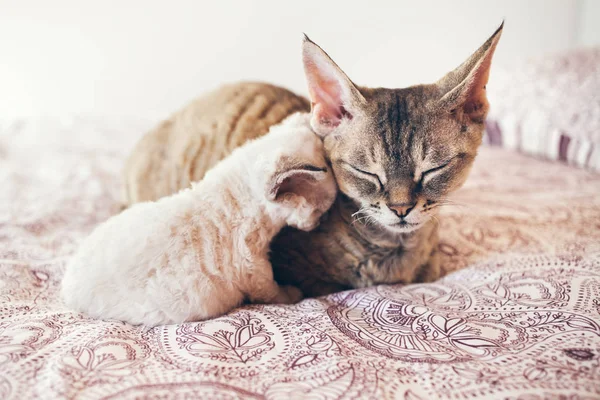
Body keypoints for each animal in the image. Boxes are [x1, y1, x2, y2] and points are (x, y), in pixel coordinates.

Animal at [61, 112, 338, 324]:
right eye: (319, 211)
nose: (317, 224)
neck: (238, 192)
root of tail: (66, 289)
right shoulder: (253, 268)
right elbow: (271, 291)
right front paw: (293, 294)